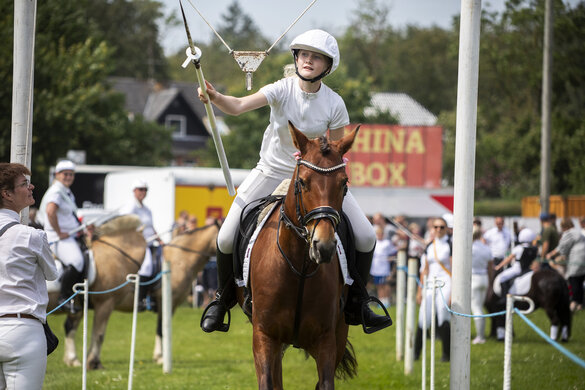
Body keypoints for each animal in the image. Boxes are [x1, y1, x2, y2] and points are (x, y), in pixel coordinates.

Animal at [240, 124, 358, 390]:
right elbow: (268, 382)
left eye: (344, 183)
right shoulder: (264, 336)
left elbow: (324, 383)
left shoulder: (327, 341)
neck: (299, 267)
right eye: (303, 182)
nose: (324, 246)